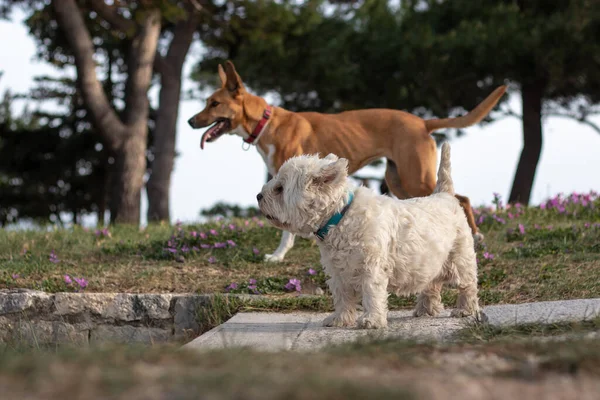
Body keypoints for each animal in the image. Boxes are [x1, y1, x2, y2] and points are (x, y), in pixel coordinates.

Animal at [188, 61, 506, 262]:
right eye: (206, 102)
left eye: (214, 104)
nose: (191, 121)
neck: (266, 123)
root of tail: (422, 122)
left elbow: (285, 232)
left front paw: (277, 256)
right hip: (399, 181)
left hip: (416, 177)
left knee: (462, 199)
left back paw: (476, 236)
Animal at [255, 143, 480, 328]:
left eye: (279, 188)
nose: (258, 196)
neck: (340, 216)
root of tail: (444, 194)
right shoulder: (337, 270)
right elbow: (342, 296)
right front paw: (340, 319)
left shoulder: (371, 266)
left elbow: (371, 293)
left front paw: (371, 321)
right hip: (430, 260)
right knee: (432, 283)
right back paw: (426, 309)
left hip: (459, 257)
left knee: (468, 284)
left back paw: (464, 310)